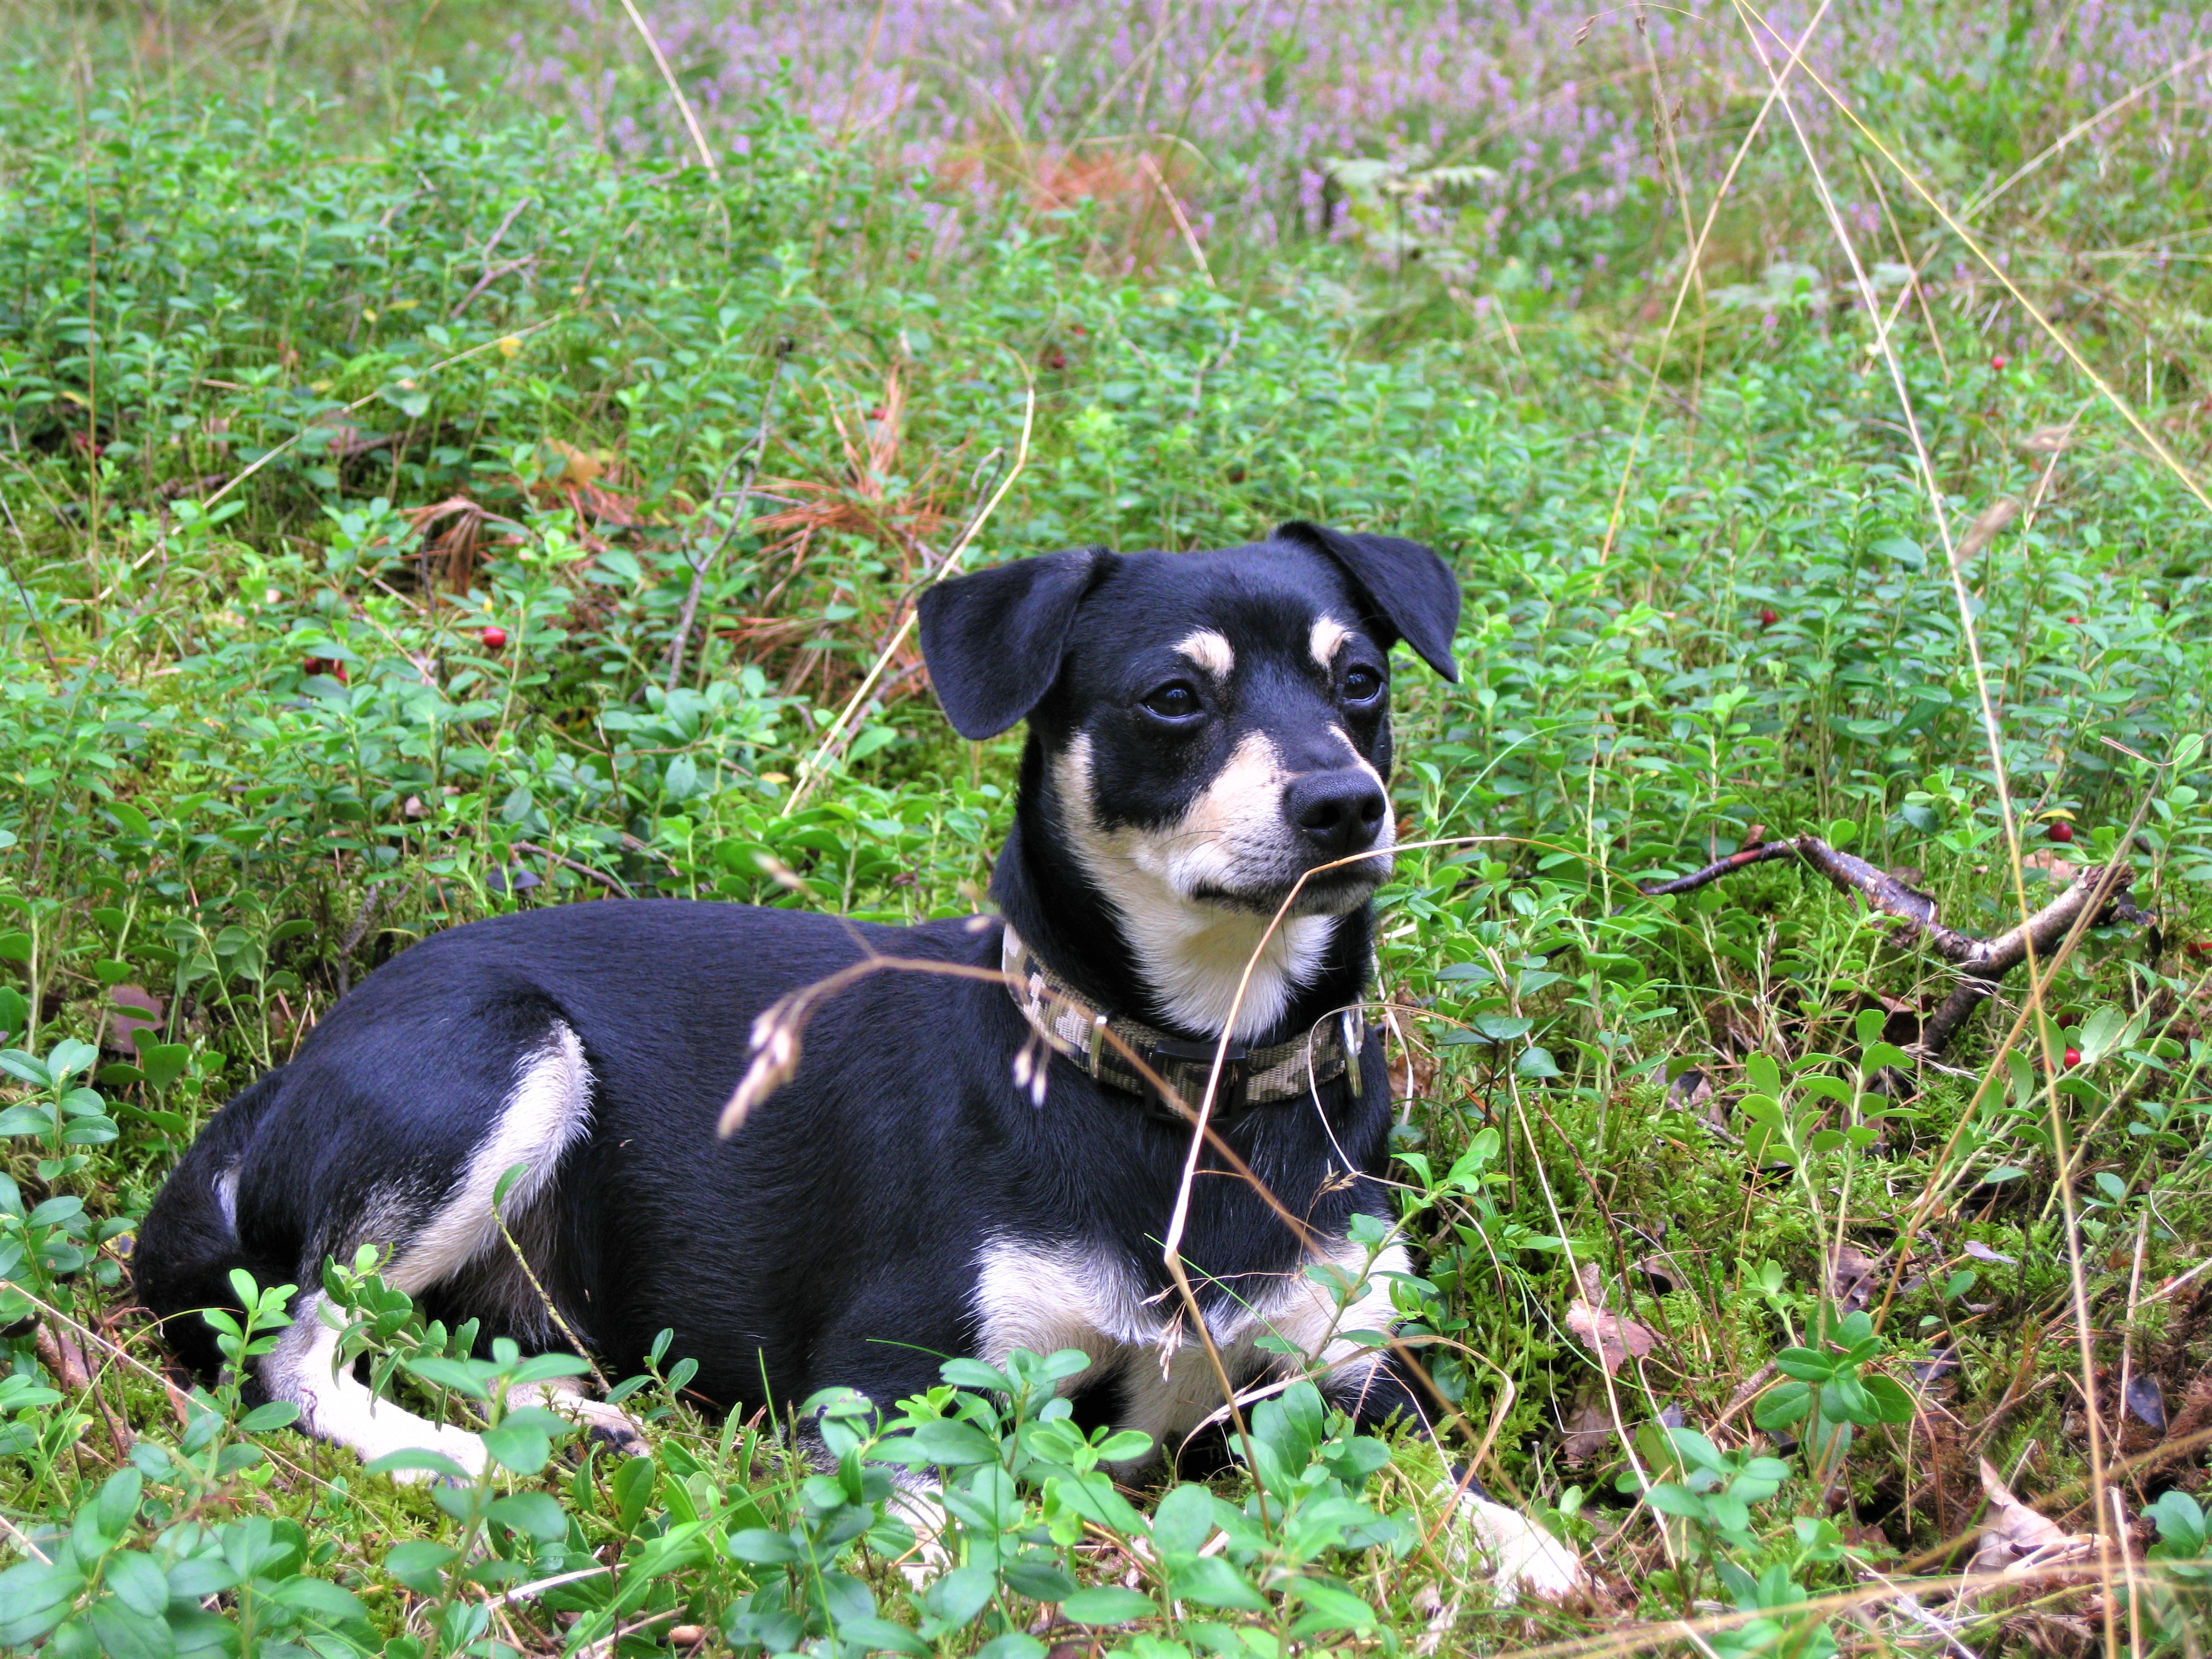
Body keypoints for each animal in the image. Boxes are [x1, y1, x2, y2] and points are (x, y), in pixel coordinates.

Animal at [133, 521, 1584, 1601]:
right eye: (1174, 699)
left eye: (1361, 683)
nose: (1345, 804)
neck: (1191, 1084)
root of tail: (290, 1073)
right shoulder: (889, 1384)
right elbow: (944, 1534)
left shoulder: (1348, 1378)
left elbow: (1438, 1481)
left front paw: (1520, 1545)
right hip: (500, 1063)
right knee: (293, 1353)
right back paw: (467, 1453)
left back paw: (566, 1419)